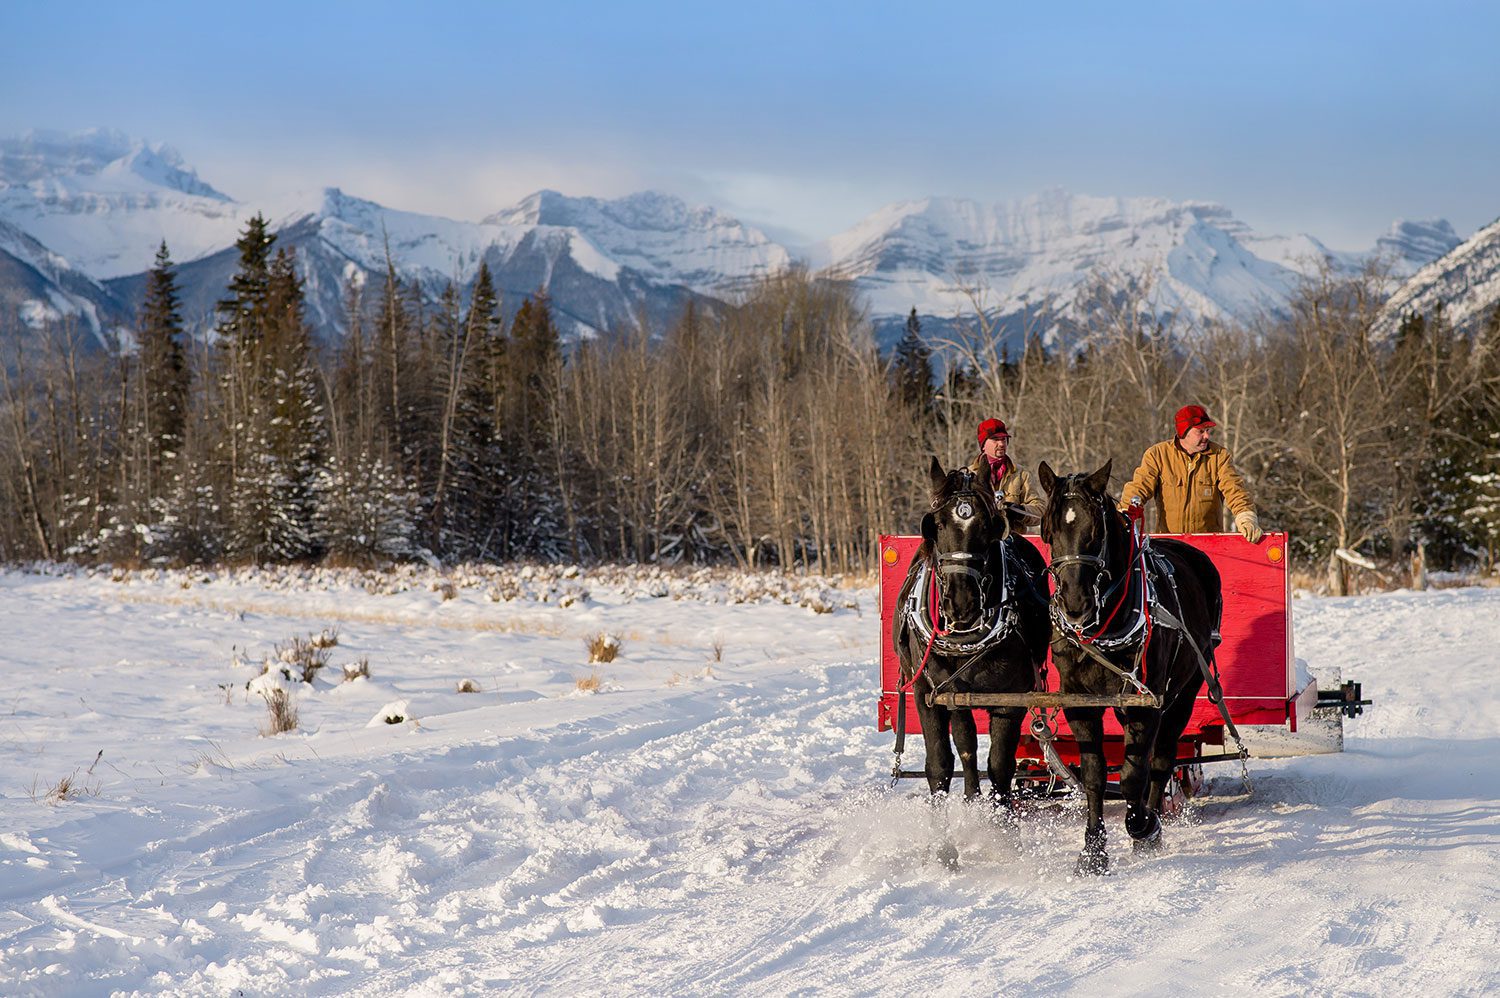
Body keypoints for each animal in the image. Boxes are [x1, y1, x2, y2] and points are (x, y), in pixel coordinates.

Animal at [894, 459, 1050, 822]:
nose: (961, 603)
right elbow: (943, 762)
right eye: (936, 524)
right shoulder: (931, 693)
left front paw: (999, 822)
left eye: (988, 525)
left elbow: (1000, 764)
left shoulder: (1012, 698)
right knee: (964, 748)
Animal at [1038, 459, 1224, 870]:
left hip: (1183, 691)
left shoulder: (1146, 701)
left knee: (1163, 757)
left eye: (1095, 531)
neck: (1102, 627)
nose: (1075, 604)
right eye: (1049, 530)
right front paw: (1093, 851)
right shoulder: (1079, 702)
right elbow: (1093, 775)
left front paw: (1143, 825)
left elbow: (1132, 775)